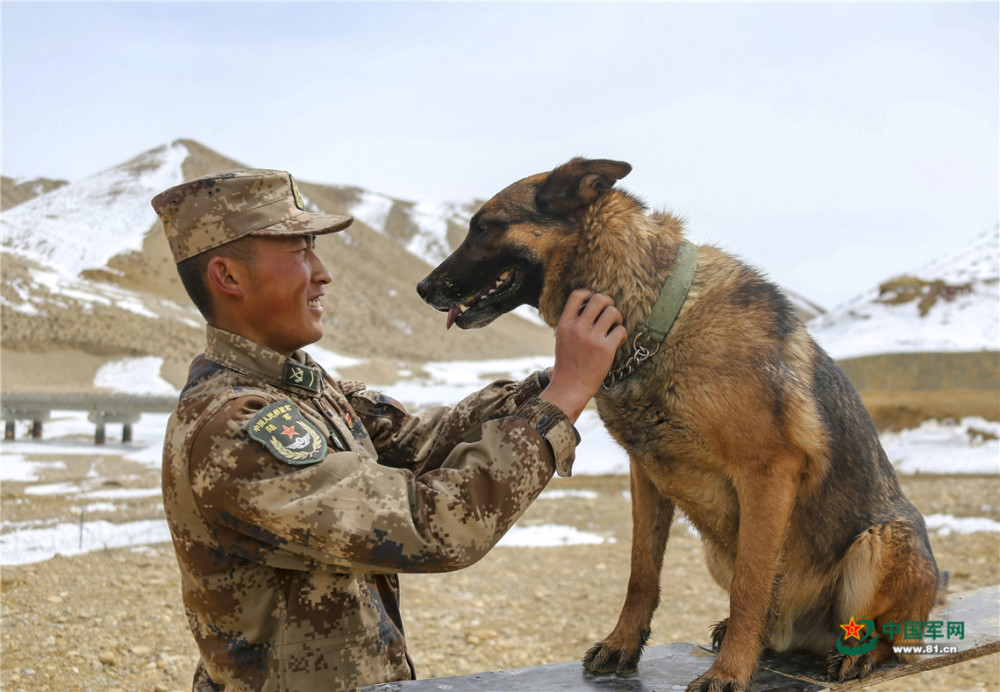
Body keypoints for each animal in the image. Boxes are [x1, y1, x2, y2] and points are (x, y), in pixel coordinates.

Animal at [416, 158, 944, 692]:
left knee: (893, 638)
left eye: (485, 227)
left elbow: (751, 584)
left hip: (880, 543)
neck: (653, 322)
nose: (422, 288)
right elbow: (641, 573)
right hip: (719, 552)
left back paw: (857, 652)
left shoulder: (768, 472)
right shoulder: (645, 474)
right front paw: (623, 643)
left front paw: (731, 670)